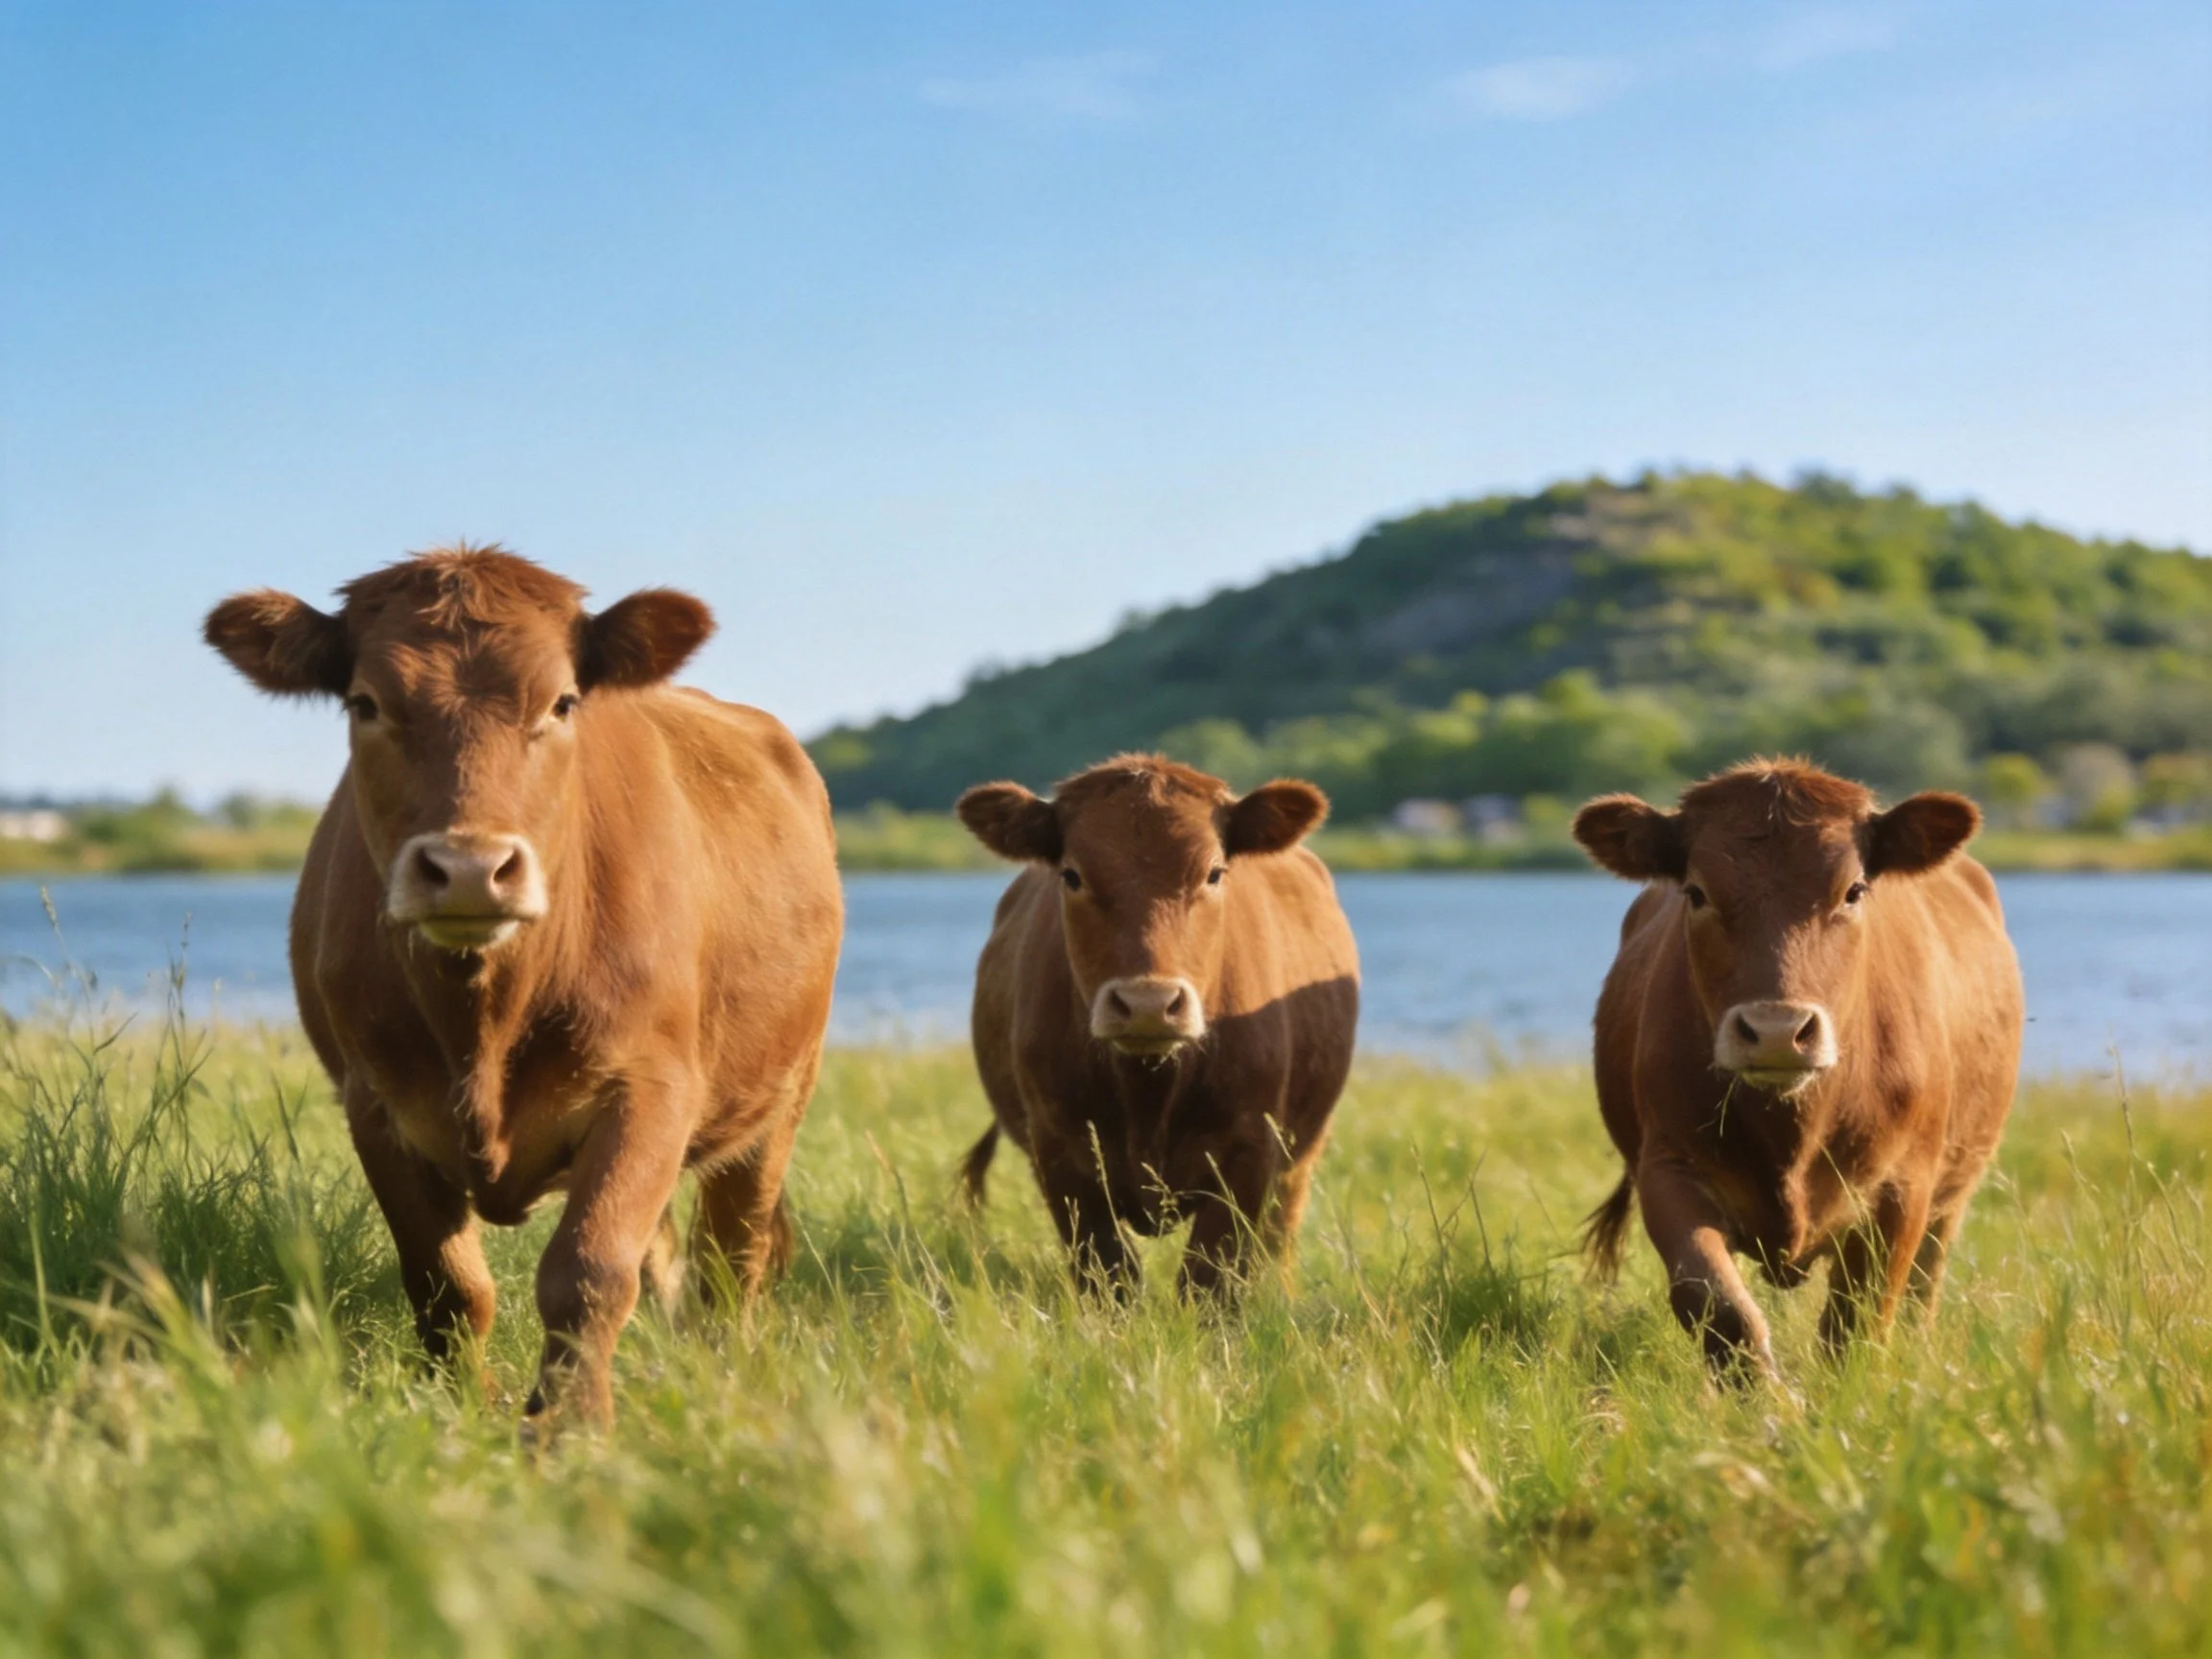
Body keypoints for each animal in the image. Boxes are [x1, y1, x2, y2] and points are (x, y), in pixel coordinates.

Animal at [202, 547, 842, 1427]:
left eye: (562, 701)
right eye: (366, 703)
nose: (470, 867)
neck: (485, 1015)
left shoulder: (651, 1088)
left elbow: (589, 1270)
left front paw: (570, 1428)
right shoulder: (377, 1103)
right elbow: (448, 1284)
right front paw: (463, 1412)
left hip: (781, 1095)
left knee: (732, 1259)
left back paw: (725, 1374)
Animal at [954, 756, 1359, 1298]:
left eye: (1214, 873)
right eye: (1072, 874)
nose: (1148, 1003)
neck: (1149, 1090)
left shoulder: (1249, 1153)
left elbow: (1209, 1282)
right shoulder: (1061, 1156)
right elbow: (1110, 1277)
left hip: (1303, 1151)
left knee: (1281, 1235)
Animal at [1571, 759, 2022, 1379]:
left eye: (1854, 891)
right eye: (1696, 892)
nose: (1776, 1030)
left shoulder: (1903, 1188)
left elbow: (1858, 1322)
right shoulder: (1666, 1169)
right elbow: (1719, 1306)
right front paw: (1772, 1403)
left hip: (1952, 1193)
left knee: (1922, 1290)